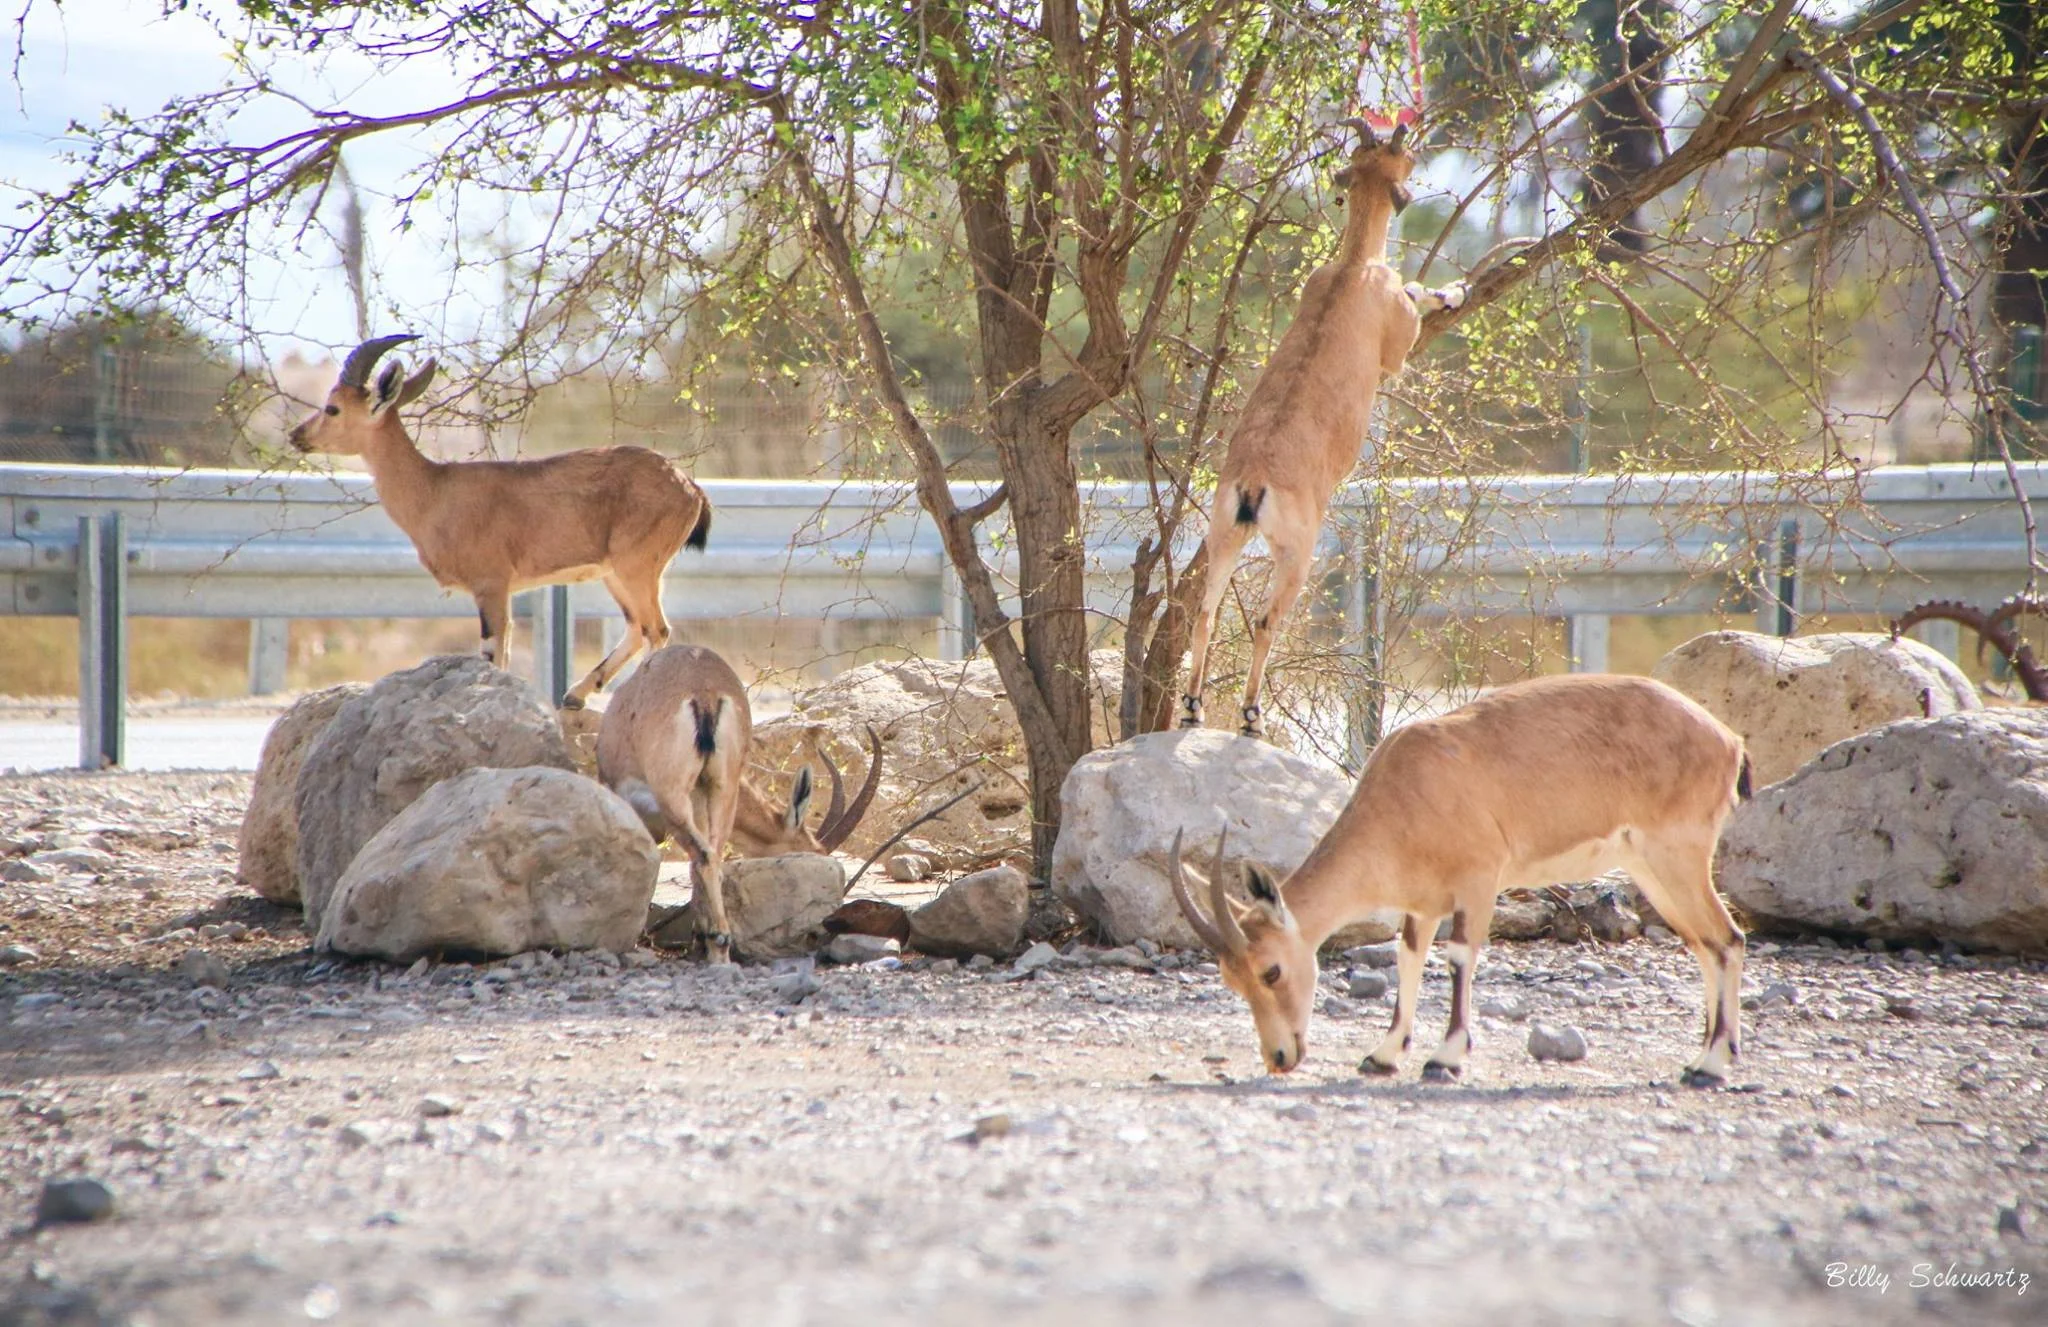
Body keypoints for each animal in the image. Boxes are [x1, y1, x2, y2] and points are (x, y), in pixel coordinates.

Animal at [289, 334, 711, 709]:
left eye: (332, 408)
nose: (297, 435)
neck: (434, 491)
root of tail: (689, 486)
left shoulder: (491, 585)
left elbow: (493, 654)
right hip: (616, 573)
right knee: (638, 628)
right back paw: (575, 695)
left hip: (637, 567)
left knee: (657, 630)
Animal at [596, 643, 882, 962]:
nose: (819, 931)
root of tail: (704, 693)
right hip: (723, 790)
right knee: (711, 854)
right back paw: (716, 946)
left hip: (674, 796)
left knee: (705, 856)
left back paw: (718, 940)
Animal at [1169, 673, 1751, 1087]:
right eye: (1232, 979)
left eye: (1270, 970)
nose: (1280, 1057)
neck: (1408, 787)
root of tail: (1728, 740)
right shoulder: (1422, 903)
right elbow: (1408, 958)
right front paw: (1384, 1054)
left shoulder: (1478, 880)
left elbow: (1459, 957)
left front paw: (1444, 1058)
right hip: (1651, 870)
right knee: (1706, 945)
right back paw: (1705, 1055)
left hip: (1678, 858)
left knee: (1728, 938)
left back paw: (1710, 1066)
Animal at [1182, 118, 1467, 737]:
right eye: (1404, 156)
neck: (1352, 268)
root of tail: (1253, 485)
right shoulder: (1396, 344)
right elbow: (1415, 301)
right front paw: (1453, 291)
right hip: (1298, 553)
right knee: (1265, 620)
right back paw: (1251, 716)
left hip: (1222, 537)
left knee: (1205, 610)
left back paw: (1192, 707)